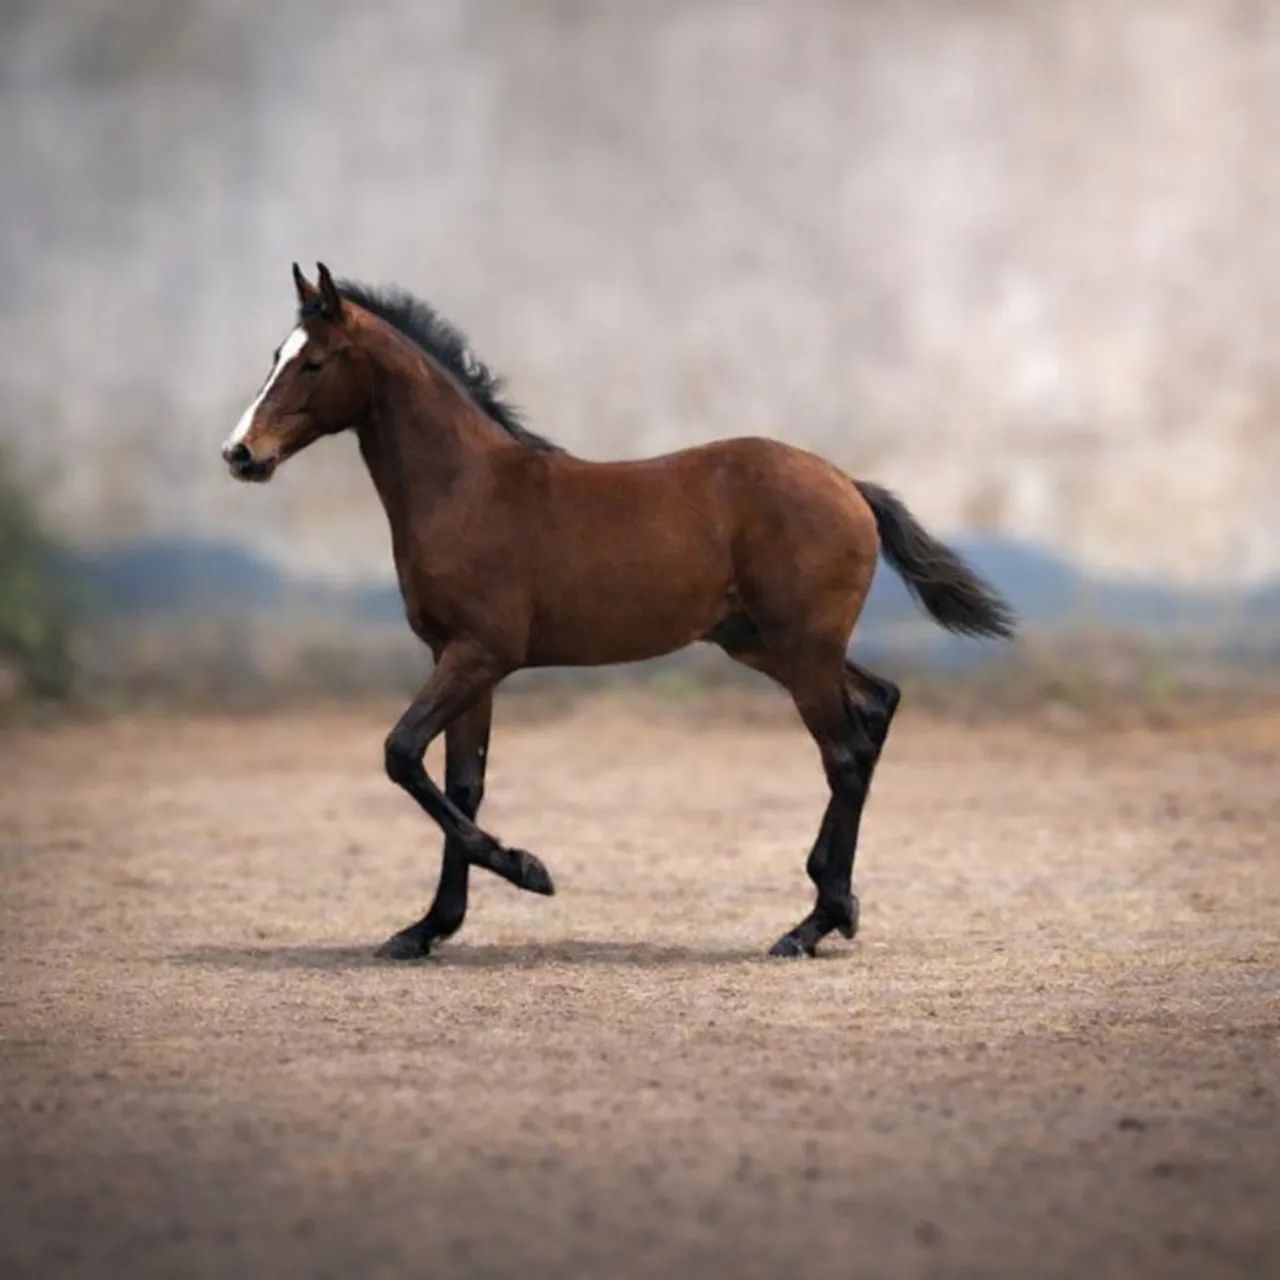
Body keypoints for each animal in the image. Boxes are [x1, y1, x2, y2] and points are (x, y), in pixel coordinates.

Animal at [222, 263, 1014, 959]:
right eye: (275, 358)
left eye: (314, 363)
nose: (240, 453)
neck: (467, 488)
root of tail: (849, 484)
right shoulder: (460, 659)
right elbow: (461, 783)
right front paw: (425, 930)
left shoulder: (479, 654)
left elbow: (401, 754)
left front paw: (530, 871)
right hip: (767, 645)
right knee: (878, 707)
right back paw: (837, 904)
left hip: (801, 648)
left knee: (844, 754)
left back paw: (810, 926)